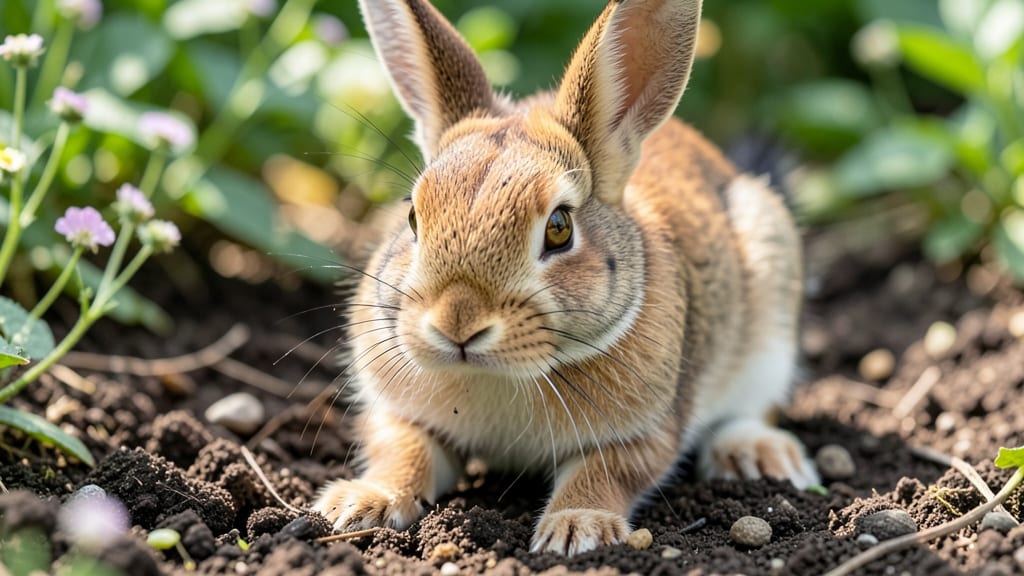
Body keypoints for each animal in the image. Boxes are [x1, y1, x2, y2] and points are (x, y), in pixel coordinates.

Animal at [313, 0, 819, 556]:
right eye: (411, 217)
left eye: (559, 228)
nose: (456, 325)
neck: (501, 374)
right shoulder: (398, 412)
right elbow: (403, 450)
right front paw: (360, 503)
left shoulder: (646, 431)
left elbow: (606, 473)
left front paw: (577, 528)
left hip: (770, 307)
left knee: (755, 405)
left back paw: (758, 455)